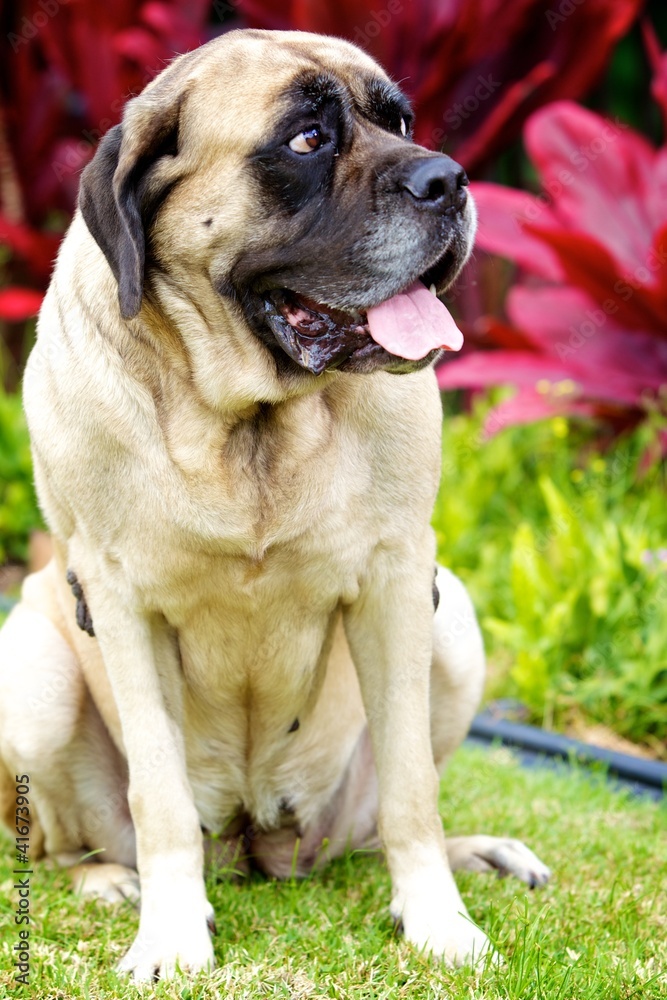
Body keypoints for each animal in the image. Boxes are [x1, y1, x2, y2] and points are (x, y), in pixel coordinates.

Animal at [0, 29, 548, 976]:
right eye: (306, 140)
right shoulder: (116, 599)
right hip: (30, 671)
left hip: (453, 623)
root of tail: (256, 842)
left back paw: (478, 856)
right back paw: (110, 881)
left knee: (372, 828)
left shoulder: (399, 580)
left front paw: (437, 920)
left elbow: (411, 788)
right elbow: (158, 796)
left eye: (399, 121)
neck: (248, 421)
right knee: (60, 843)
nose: (448, 179)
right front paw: (170, 934)